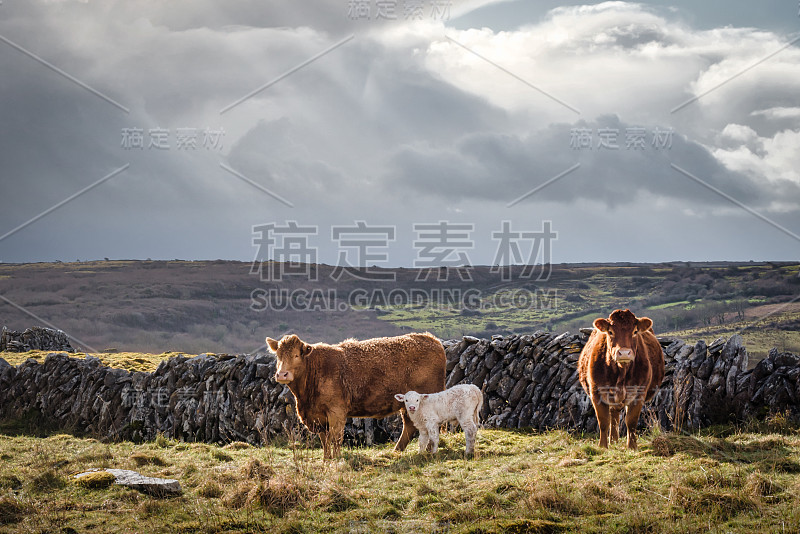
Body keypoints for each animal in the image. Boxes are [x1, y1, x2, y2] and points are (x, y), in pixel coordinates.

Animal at [268, 332, 444, 458]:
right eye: (278, 356)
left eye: (296, 355)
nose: (282, 374)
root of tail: (431, 339)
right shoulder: (317, 417)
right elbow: (324, 440)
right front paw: (326, 459)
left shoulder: (336, 412)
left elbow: (336, 437)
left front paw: (337, 458)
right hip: (407, 404)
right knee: (409, 426)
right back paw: (397, 451)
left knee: (430, 426)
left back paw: (429, 449)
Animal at [580, 310, 664, 452]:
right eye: (610, 332)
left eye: (635, 331)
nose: (624, 353)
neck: (621, 372)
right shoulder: (596, 392)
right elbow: (603, 421)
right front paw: (602, 446)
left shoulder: (639, 393)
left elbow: (631, 421)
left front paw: (632, 446)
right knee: (613, 416)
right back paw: (612, 441)